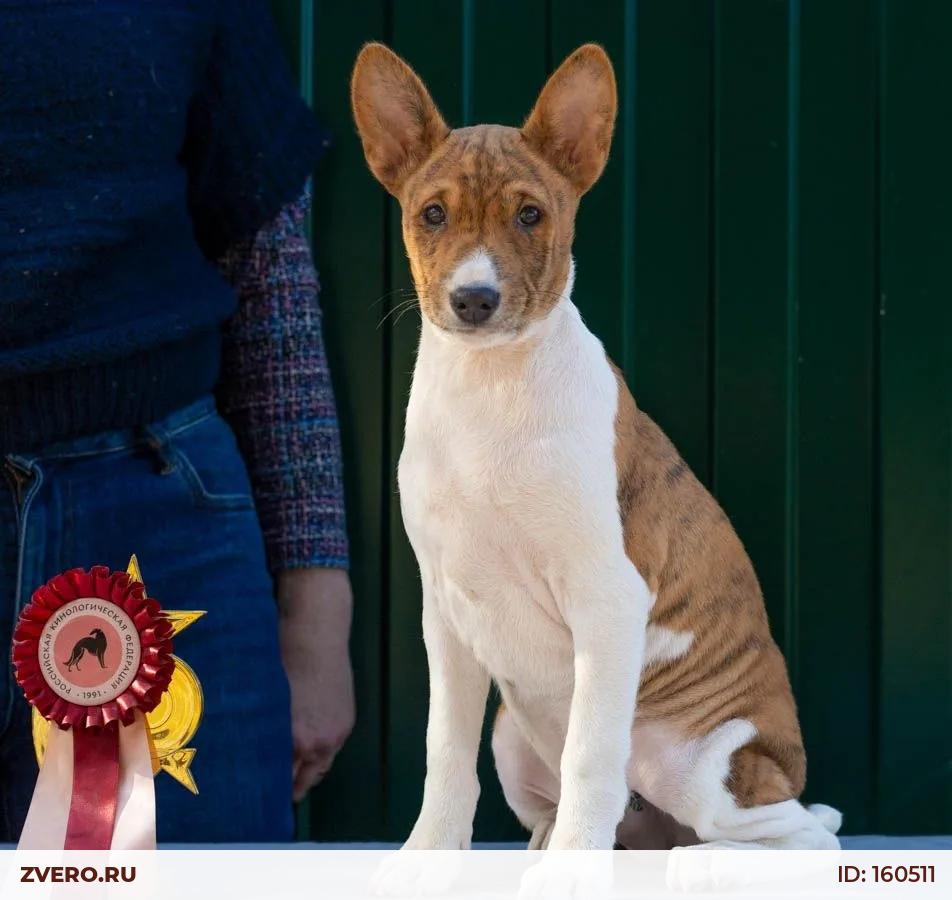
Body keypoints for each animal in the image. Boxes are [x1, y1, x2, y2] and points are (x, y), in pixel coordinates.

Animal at [352, 42, 841, 864]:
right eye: (432, 215)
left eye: (530, 215)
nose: (474, 300)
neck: (491, 389)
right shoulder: (446, 613)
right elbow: (443, 752)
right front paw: (428, 858)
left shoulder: (608, 597)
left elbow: (589, 755)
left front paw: (570, 874)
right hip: (513, 738)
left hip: (698, 763)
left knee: (803, 832)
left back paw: (699, 861)